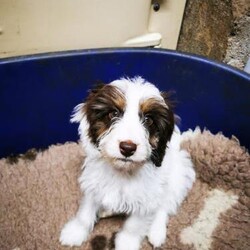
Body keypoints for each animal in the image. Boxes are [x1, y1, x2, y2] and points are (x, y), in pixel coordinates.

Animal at [59, 77, 195, 249]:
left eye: (148, 120)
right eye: (113, 113)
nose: (127, 148)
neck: (122, 171)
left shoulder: (146, 198)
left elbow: (134, 225)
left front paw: (127, 243)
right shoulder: (93, 183)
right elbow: (85, 211)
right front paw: (76, 231)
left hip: (179, 177)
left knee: (164, 206)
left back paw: (157, 232)